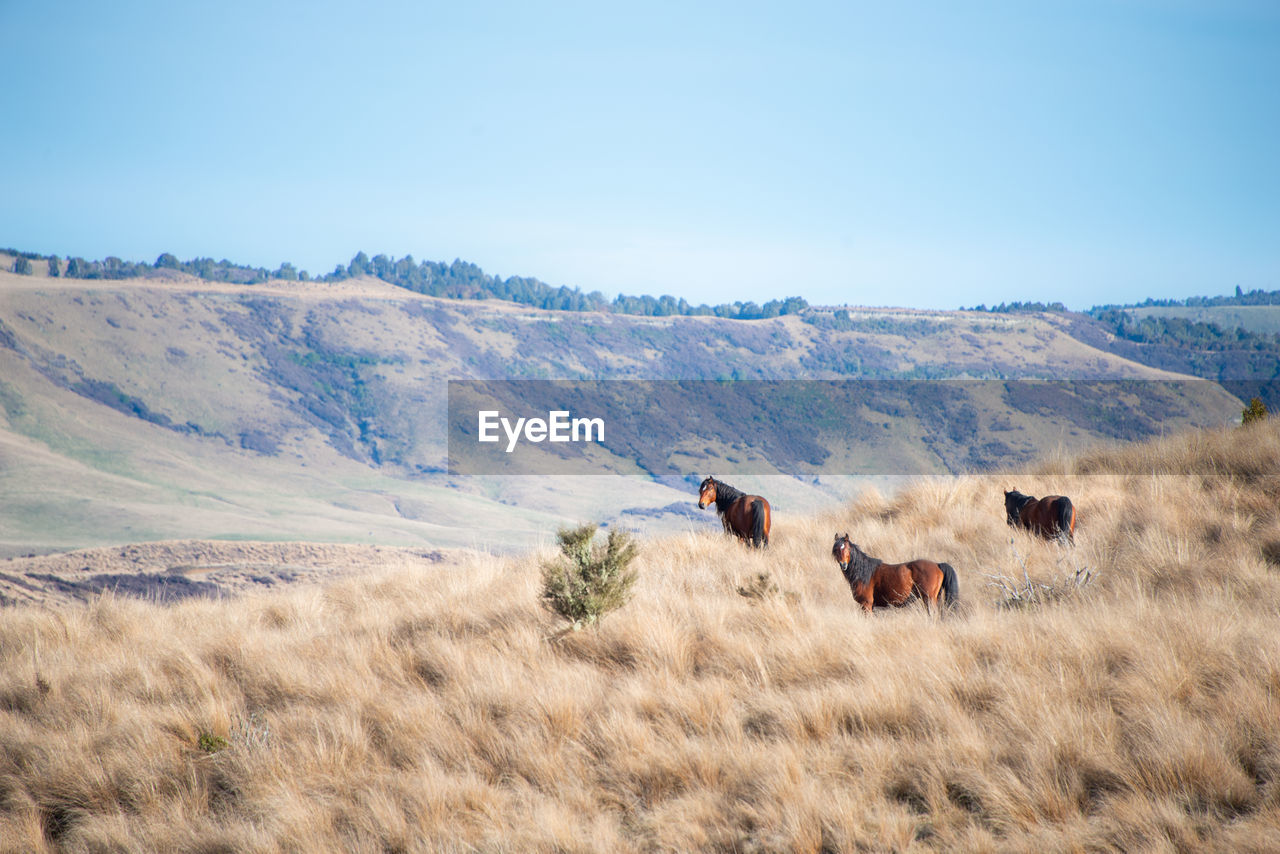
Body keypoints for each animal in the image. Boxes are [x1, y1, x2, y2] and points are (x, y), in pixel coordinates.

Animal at [829, 535, 962, 614]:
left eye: (847, 549)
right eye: (836, 549)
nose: (843, 565)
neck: (863, 573)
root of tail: (937, 564)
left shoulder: (866, 605)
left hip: (929, 599)